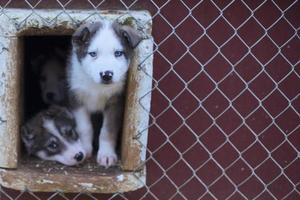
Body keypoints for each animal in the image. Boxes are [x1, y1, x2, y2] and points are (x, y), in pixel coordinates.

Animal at [68, 19, 143, 167]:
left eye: (118, 53)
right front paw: (84, 148)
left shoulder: (115, 102)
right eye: (93, 54)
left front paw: (106, 155)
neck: (96, 86)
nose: (106, 75)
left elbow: (107, 130)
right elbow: (84, 127)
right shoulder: (76, 98)